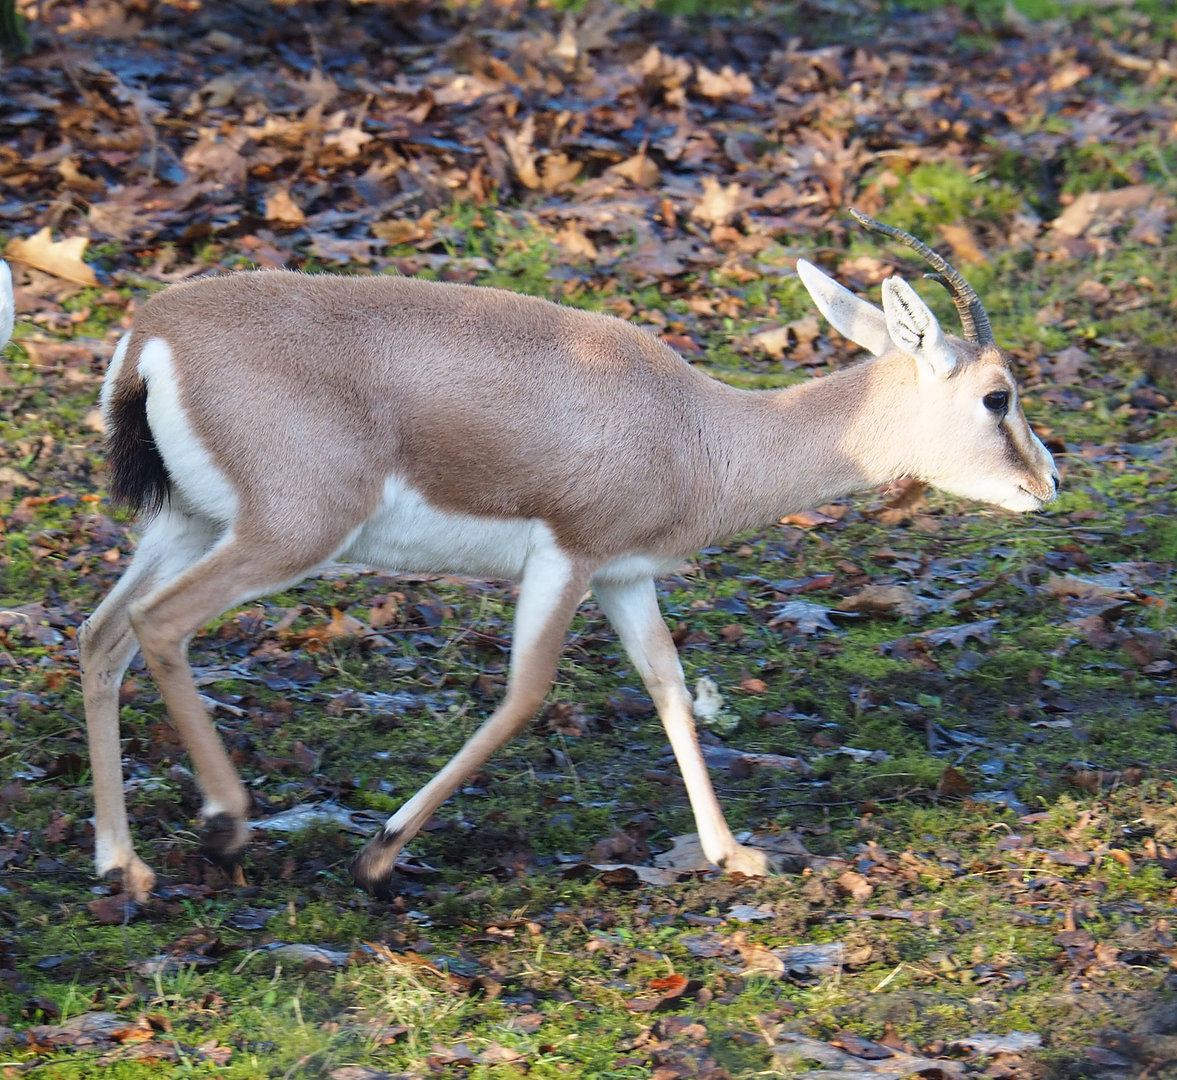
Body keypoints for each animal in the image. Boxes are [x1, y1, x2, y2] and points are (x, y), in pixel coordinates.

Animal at [55, 211, 1056, 901]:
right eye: (997, 396)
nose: (1047, 480)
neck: (699, 429)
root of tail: (153, 333)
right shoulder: (568, 559)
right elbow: (525, 695)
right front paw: (379, 854)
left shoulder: (623, 575)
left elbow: (667, 687)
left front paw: (733, 852)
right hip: (284, 536)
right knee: (158, 624)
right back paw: (225, 826)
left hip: (188, 524)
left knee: (101, 635)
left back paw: (122, 866)